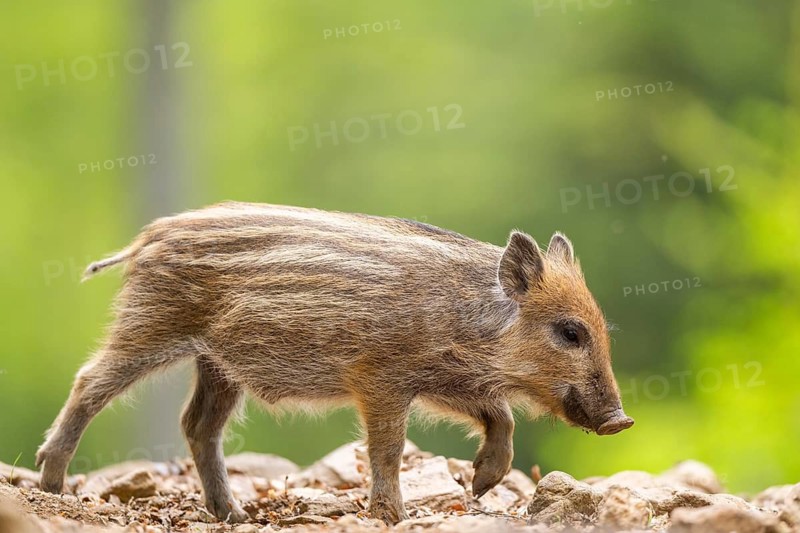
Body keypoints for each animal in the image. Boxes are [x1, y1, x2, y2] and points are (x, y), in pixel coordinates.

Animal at [36, 202, 633, 524]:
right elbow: (388, 448)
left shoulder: (449, 380)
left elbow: (501, 417)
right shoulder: (382, 377)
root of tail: (146, 240)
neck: (469, 317)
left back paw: (233, 515)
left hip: (218, 363)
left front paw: (480, 486)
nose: (621, 419)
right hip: (153, 324)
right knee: (90, 383)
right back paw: (50, 484)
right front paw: (396, 516)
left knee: (199, 425)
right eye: (570, 332)